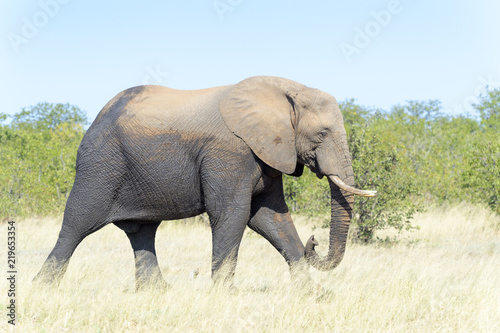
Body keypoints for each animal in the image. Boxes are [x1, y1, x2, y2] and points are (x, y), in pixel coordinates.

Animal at [34, 76, 376, 290]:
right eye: (322, 134)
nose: (314, 240)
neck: (285, 90)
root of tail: (95, 119)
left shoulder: (268, 156)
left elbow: (271, 219)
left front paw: (313, 295)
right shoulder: (230, 152)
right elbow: (232, 215)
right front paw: (225, 295)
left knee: (142, 231)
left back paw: (158, 293)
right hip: (99, 167)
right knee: (77, 225)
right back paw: (41, 289)